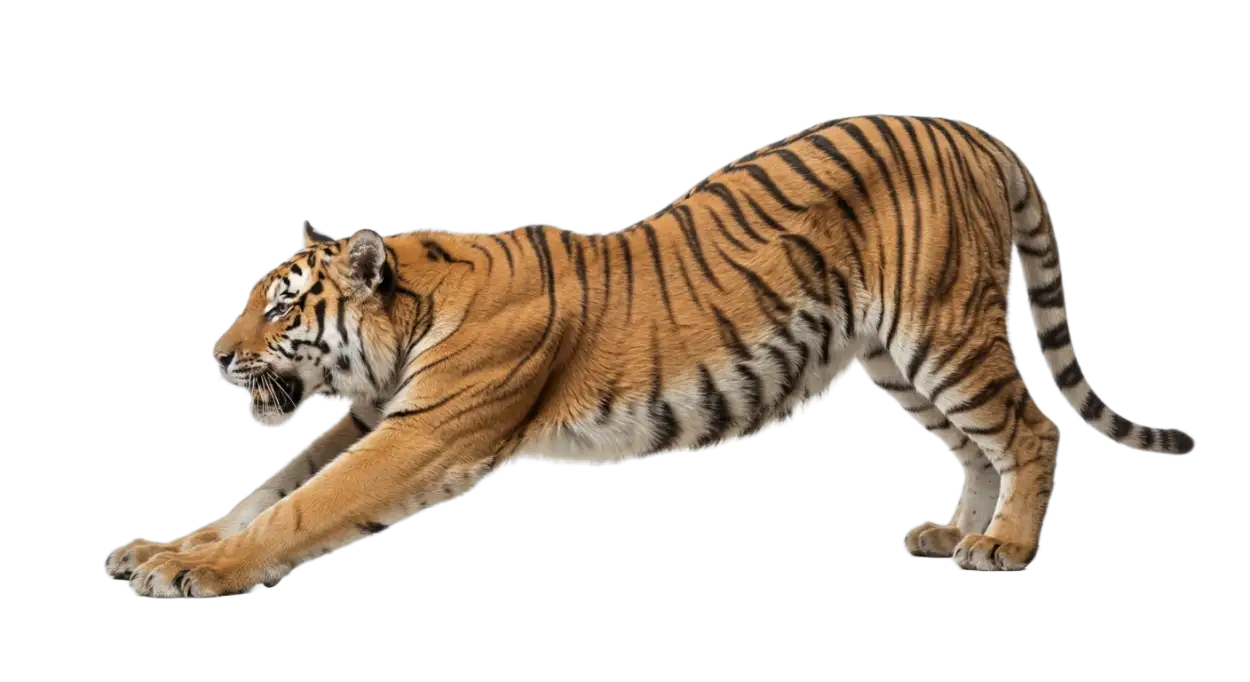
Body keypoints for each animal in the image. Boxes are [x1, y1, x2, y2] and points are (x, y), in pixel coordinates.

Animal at [104, 114, 1196, 598]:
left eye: (281, 308)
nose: (215, 354)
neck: (406, 318)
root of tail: (971, 128)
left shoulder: (421, 433)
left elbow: (303, 507)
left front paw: (199, 571)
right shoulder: (373, 417)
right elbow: (265, 490)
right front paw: (164, 547)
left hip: (941, 332)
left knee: (1029, 426)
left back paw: (1004, 549)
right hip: (898, 358)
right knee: (978, 444)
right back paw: (955, 535)